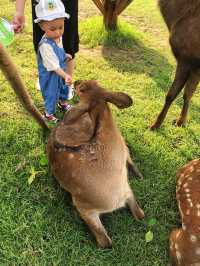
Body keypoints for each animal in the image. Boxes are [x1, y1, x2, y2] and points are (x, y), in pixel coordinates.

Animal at [151, 0, 200, 129]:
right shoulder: (195, 66)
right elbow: (188, 94)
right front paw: (181, 122)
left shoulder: (185, 59)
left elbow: (171, 94)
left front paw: (155, 124)